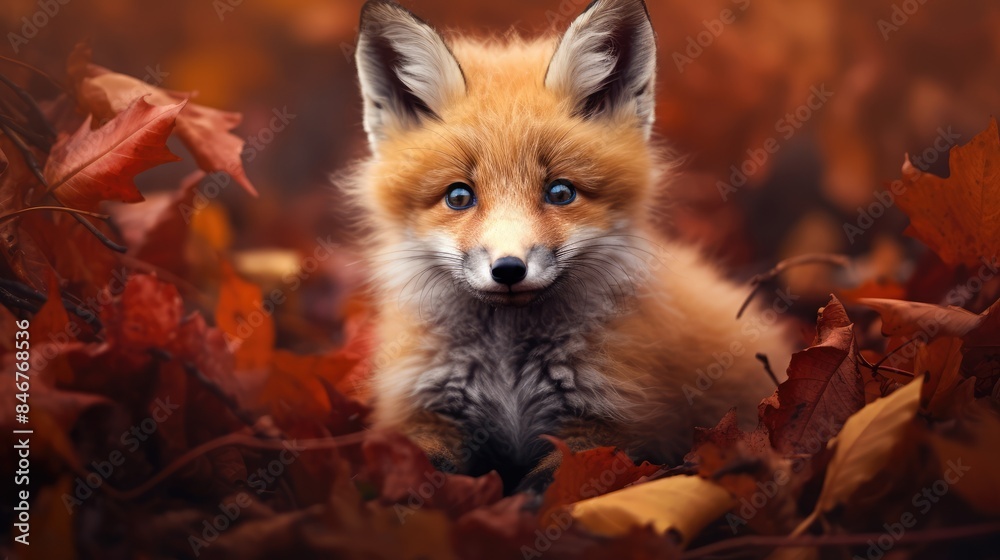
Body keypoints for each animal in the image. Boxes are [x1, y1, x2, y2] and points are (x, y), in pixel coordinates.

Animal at [346, 0, 793, 492]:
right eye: (459, 197)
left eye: (560, 193)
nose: (508, 268)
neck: (508, 372)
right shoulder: (424, 413)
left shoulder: (609, 426)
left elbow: (548, 488)